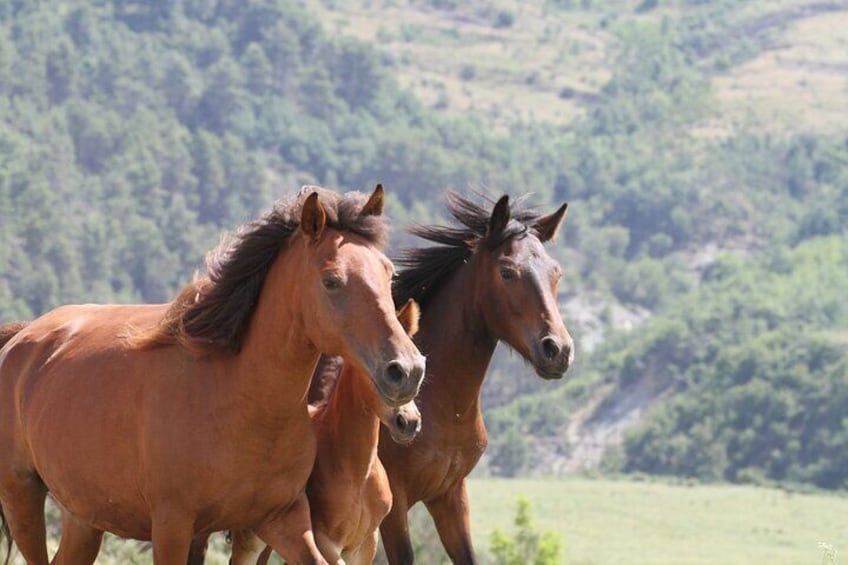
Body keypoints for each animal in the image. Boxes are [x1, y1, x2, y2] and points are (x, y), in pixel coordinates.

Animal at [380, 192, 576, 560]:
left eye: (556, 272)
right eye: (507, 272)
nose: (558, 350)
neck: (442, 407)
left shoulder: (450, 495)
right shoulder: (392, 504)